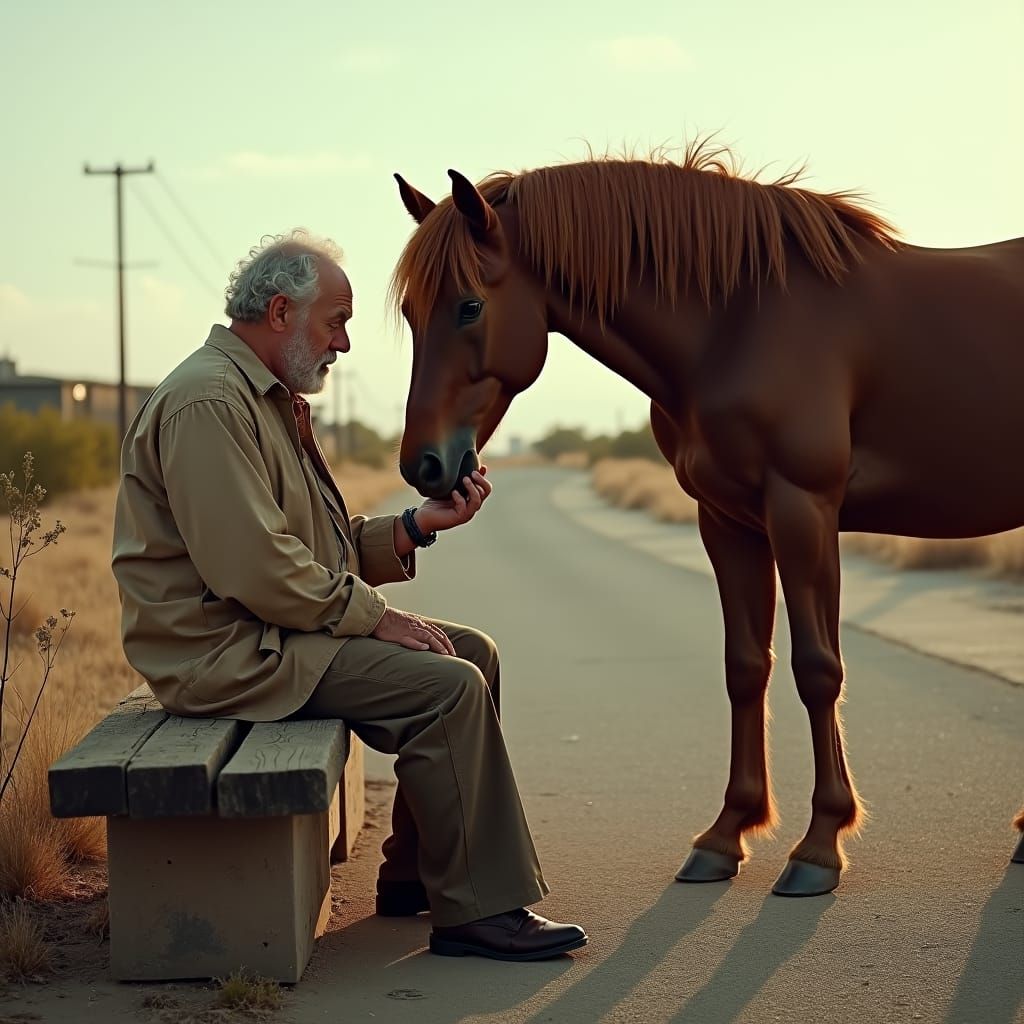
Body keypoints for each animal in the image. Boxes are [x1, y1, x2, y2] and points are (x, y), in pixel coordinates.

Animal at [388, 142, 1024, 896]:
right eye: (410, 311)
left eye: (468, 306)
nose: (424, 466)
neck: (739, 322)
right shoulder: (726, 520)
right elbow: (745, 666)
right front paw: (726, 835)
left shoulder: (802, 510)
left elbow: (817, 668)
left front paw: (819, 845)